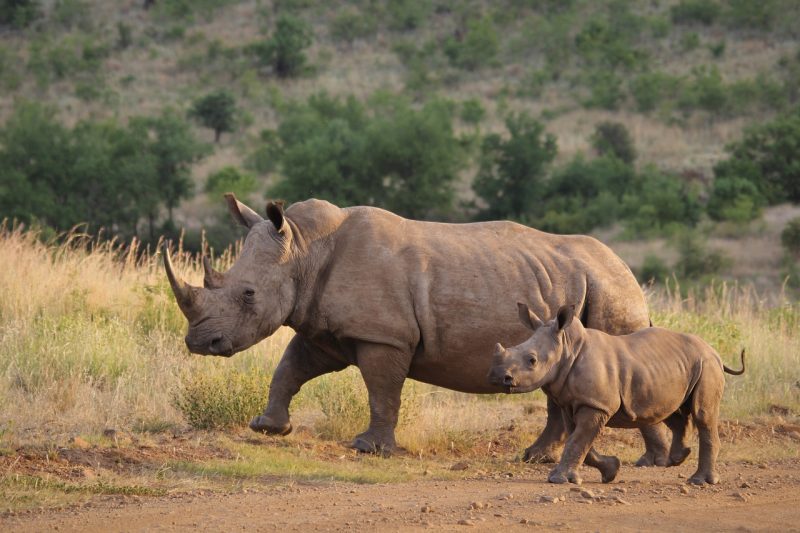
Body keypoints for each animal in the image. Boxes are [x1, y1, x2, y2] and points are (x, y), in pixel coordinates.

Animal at [163, 194, 670, 463]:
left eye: (248, 294)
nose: (199, 342)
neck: (304, 250)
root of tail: (627, 270)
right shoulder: (324, 329)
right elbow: (290, 368)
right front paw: (269, 427)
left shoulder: (382, 335)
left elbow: (382, 390)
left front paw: (370, 449)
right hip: (578, 289)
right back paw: (536, 457)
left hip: (609, 291)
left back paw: (646, 461)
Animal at [488, 303, 745, 485]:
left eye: (532, 360)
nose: (497, 377)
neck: (567, 347)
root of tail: (714, 351)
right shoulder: (573, 403)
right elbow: (580, 441)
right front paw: (611, 470)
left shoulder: (596, 404)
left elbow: (577, 440)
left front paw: (557, 479)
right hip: (679, 367)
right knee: (672, 411)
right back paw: (677, 459)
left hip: (707, 365)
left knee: (703, 415)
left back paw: (699, 481)